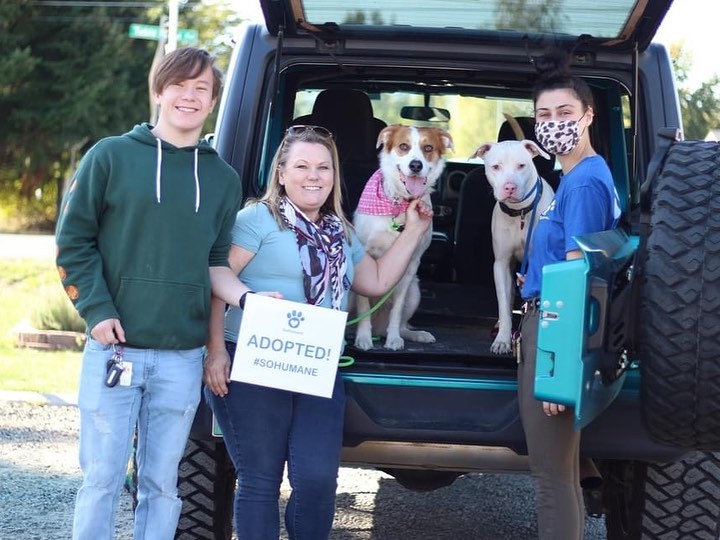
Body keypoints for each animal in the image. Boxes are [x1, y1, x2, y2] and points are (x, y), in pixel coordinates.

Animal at [352, 123, 452, 350]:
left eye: (428, 148)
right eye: (403, 146)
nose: (416, 165)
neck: (398, 204)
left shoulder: (410, 264)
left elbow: (397, 310)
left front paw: (394, 339)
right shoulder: (363, 256)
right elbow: (363, 306)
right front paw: (363, 337)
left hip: (415, 291)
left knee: (402, 323)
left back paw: (413, 334)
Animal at [476, 138, 556, 354]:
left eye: (521, 165)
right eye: (496, 167)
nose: (509, 187)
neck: (519, 212)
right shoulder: (501, 264)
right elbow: (504, 305)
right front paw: (503, 339)